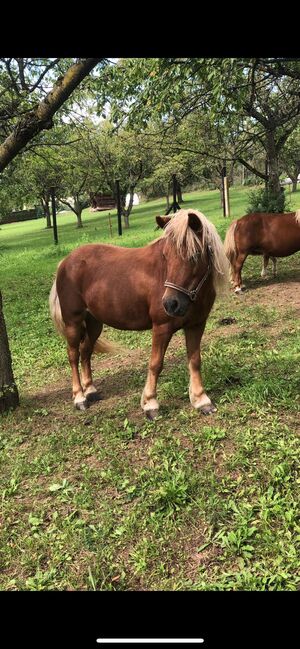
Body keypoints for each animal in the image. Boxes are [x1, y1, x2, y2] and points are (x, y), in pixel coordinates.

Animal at [48, 210, 227, 418]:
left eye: (195, 255)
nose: (170, 304)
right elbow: (155, 364)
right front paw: (150, 404)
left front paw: (201, 400)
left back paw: (90, 390)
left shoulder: (196, 325)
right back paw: (79, 397)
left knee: (85, 351)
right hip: (73, 322)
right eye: (165, 255)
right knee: (73, 354)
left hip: (94, 323)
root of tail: (65, 262)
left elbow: (195, 361)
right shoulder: (162, 328)